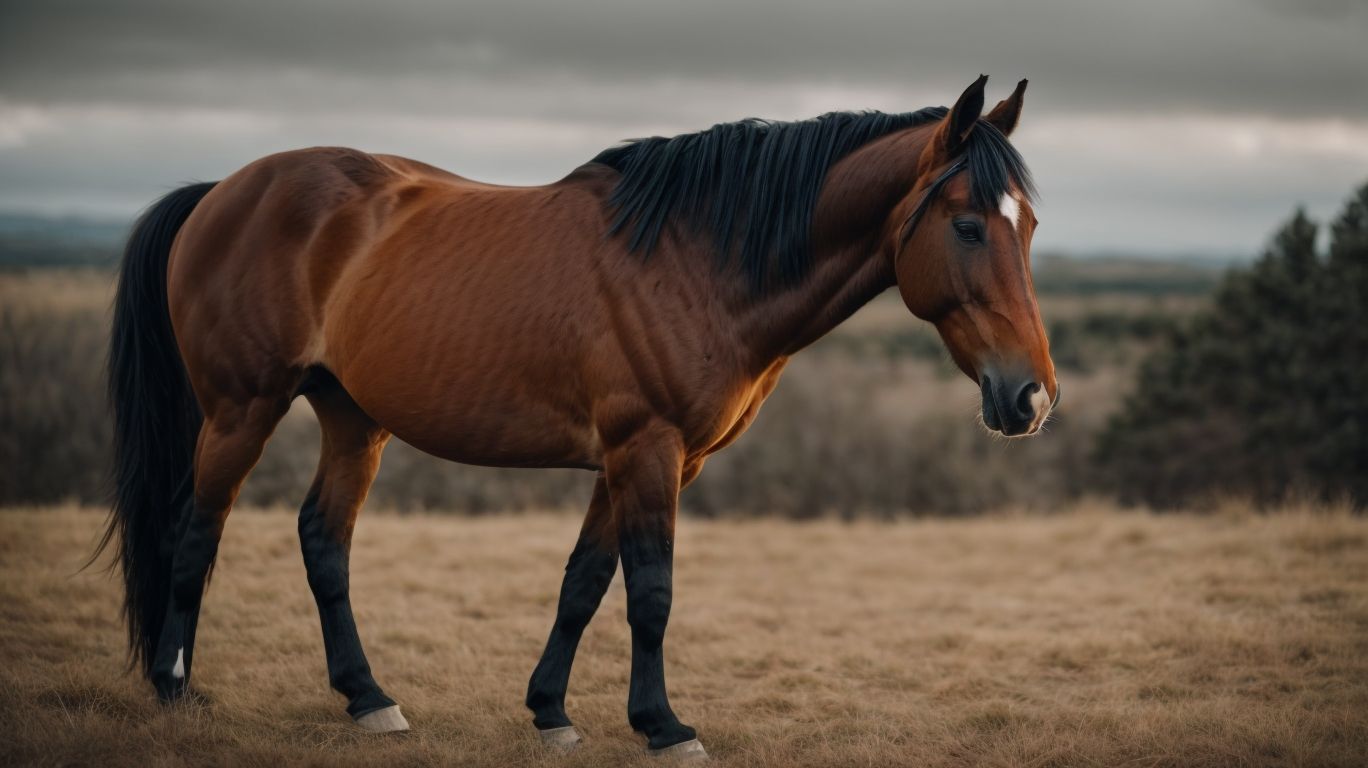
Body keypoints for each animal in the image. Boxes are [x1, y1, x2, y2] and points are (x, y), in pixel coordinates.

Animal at [100, 74, 1057, 758]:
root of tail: (225, 189)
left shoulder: (649, 459)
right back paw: (176, 685)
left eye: (1030, 226)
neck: (697, 261)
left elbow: (584, 582)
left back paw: (369, 699)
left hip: (351, 417)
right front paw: (664, 725)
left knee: (321, 538)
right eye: (968, 226)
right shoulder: (647, 450)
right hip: (241, 408)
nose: (1032, 397)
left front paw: (551, 711)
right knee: (197, 528)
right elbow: (650, 592)